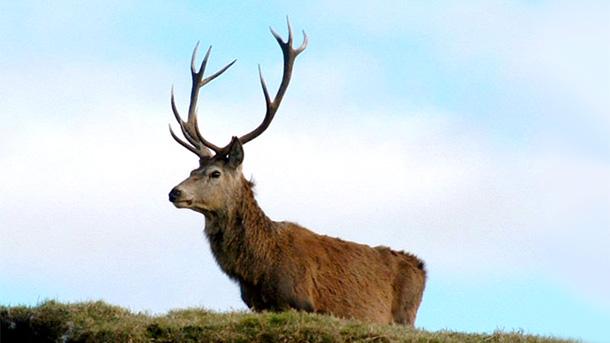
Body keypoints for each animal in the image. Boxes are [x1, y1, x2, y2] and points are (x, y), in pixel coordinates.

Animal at [164, 20, 426, 328]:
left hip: (405, 316)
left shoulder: (301, 303)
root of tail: (421, 268)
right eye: (193, 169)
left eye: (215, 173)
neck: (258, 270)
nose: (175, 192)